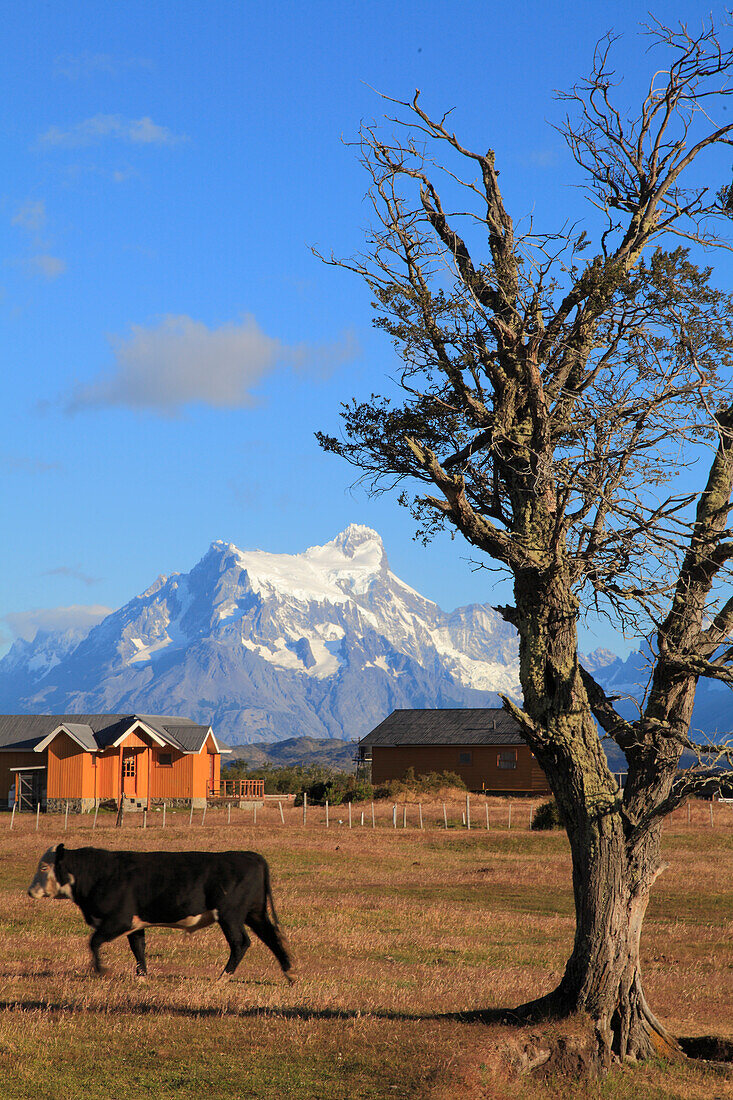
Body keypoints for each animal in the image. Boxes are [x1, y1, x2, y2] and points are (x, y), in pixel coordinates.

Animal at [26, 840, 294, 981]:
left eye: (44, 867)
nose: (30, 891)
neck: (100, 873)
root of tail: (250, 855)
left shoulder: (118, 920)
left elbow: (94, 942)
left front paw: (101, 970)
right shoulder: (135, 924)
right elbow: (138, 948)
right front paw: (142, 976)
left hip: (231, 916)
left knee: (241, 943)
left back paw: (223, 977)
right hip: (255, 913)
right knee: (271, 937)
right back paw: (289, 972)